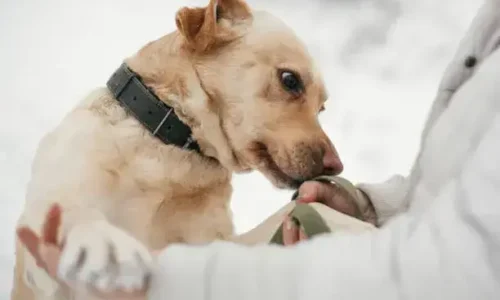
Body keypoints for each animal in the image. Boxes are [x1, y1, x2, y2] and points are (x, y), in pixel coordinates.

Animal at [9, 0, 344, 298]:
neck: (171, 149)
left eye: (322, 108)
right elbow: (73, 211)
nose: (336, 166)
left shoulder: (212, 240)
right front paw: (101, 242)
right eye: (290, 80)